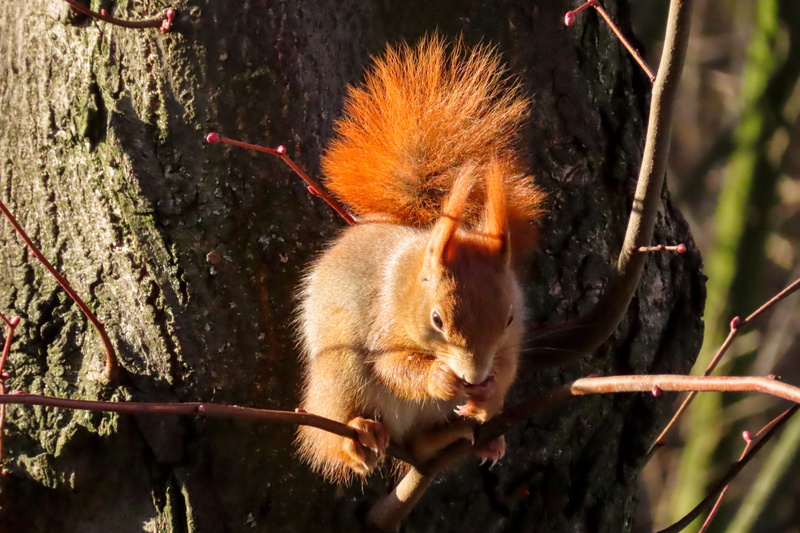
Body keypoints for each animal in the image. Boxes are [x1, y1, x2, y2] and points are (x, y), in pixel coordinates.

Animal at [295, 35, 544, 484]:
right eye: (437, 320)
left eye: (510, 318)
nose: (473, 376)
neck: (409, 280)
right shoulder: (381, 324)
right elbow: (393, 367)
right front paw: (439, 376)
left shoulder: (511, 340)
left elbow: (509, 366)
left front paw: (489, 393)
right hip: (340, 374)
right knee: (334, 431)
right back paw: (357, 435)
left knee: (418, 444)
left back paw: (464, 434)